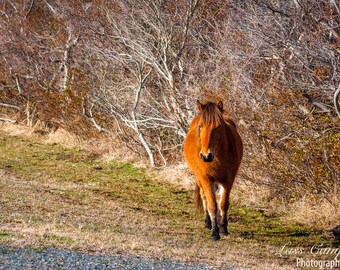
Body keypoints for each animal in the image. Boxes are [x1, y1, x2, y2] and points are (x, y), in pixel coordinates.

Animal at [183, 99, 242, 240]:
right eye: (201, 126)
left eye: (218, 127)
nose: (206, 156)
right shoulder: (205, 179)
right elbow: (212, 205)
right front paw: (215, 232)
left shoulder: (228, 180)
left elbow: (223, 204)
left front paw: (223, 229)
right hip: (200, 178)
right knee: (204, 197)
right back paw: (208, 222)